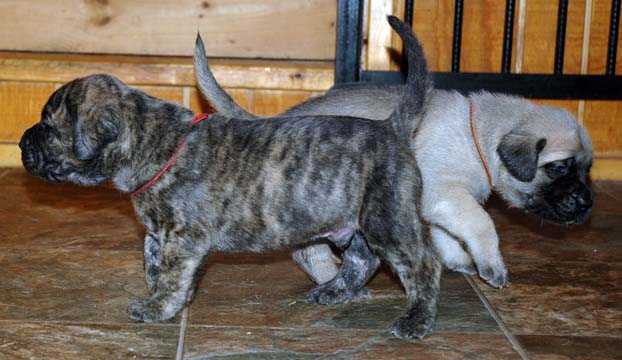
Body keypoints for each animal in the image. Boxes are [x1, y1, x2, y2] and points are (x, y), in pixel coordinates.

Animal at [18, 16, 438, 338]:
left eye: (47, 124)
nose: (21, 142)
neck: (152, 141)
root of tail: (392, 127)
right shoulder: (159, 234)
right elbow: (154, 265)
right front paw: (168, 299)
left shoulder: (184, 237)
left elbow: (170, 274)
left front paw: (157, 308)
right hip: (355, 223)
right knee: (362, 260)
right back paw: (334, 291)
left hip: (387, 219)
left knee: (423, 265)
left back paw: (415, 321)